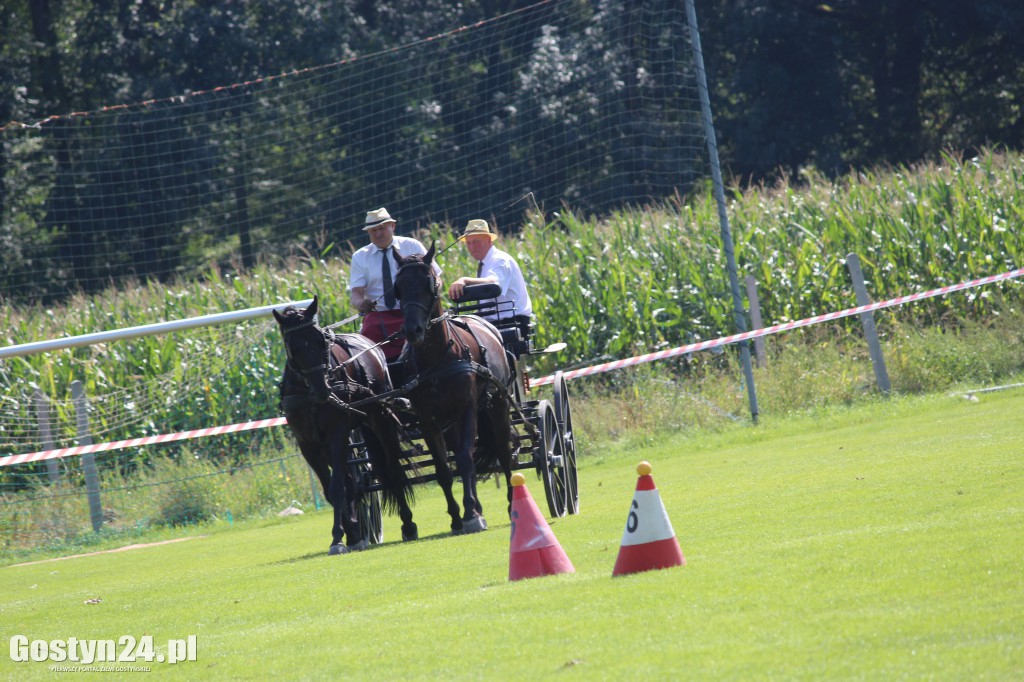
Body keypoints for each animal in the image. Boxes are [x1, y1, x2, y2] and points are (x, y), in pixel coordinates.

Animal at [274, 294, 417, 548]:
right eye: (293, 347)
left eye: (321, 341)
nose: (322, 391)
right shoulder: (307, 444)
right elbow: (333, 489)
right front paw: (349, 533)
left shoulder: (337, 434)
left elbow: (338, 487)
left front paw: (338, 537)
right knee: (355, 480)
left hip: (381, 419)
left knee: (392, 469)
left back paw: (408, 524)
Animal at [393, 241, 520, 532]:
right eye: (398, 288)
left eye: (430, 284)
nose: (413, 330)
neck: (437, 359)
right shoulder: (428, 420)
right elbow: (443, 469)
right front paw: (456, 515)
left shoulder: (468, 409)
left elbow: (464, 458)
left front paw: (471, 514)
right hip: (450, 422)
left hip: (498, 405)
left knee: (503, 451)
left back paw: (511, 504)